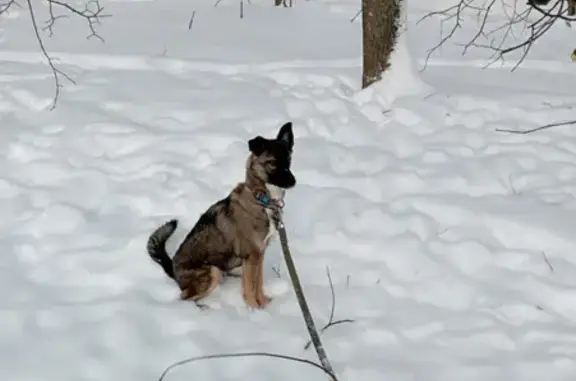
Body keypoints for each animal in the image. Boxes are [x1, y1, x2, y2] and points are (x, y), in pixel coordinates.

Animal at [146, 121, 296, 308]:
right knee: (185, 298)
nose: (293, 182)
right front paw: (255, 310)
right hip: (213, 271)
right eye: (272, 162)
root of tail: (173, 269)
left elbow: (258, 284)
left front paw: (264, 305)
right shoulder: (252, 255)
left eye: (289, 159)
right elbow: (250, 288)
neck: (261, 199)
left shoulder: (259, 254)